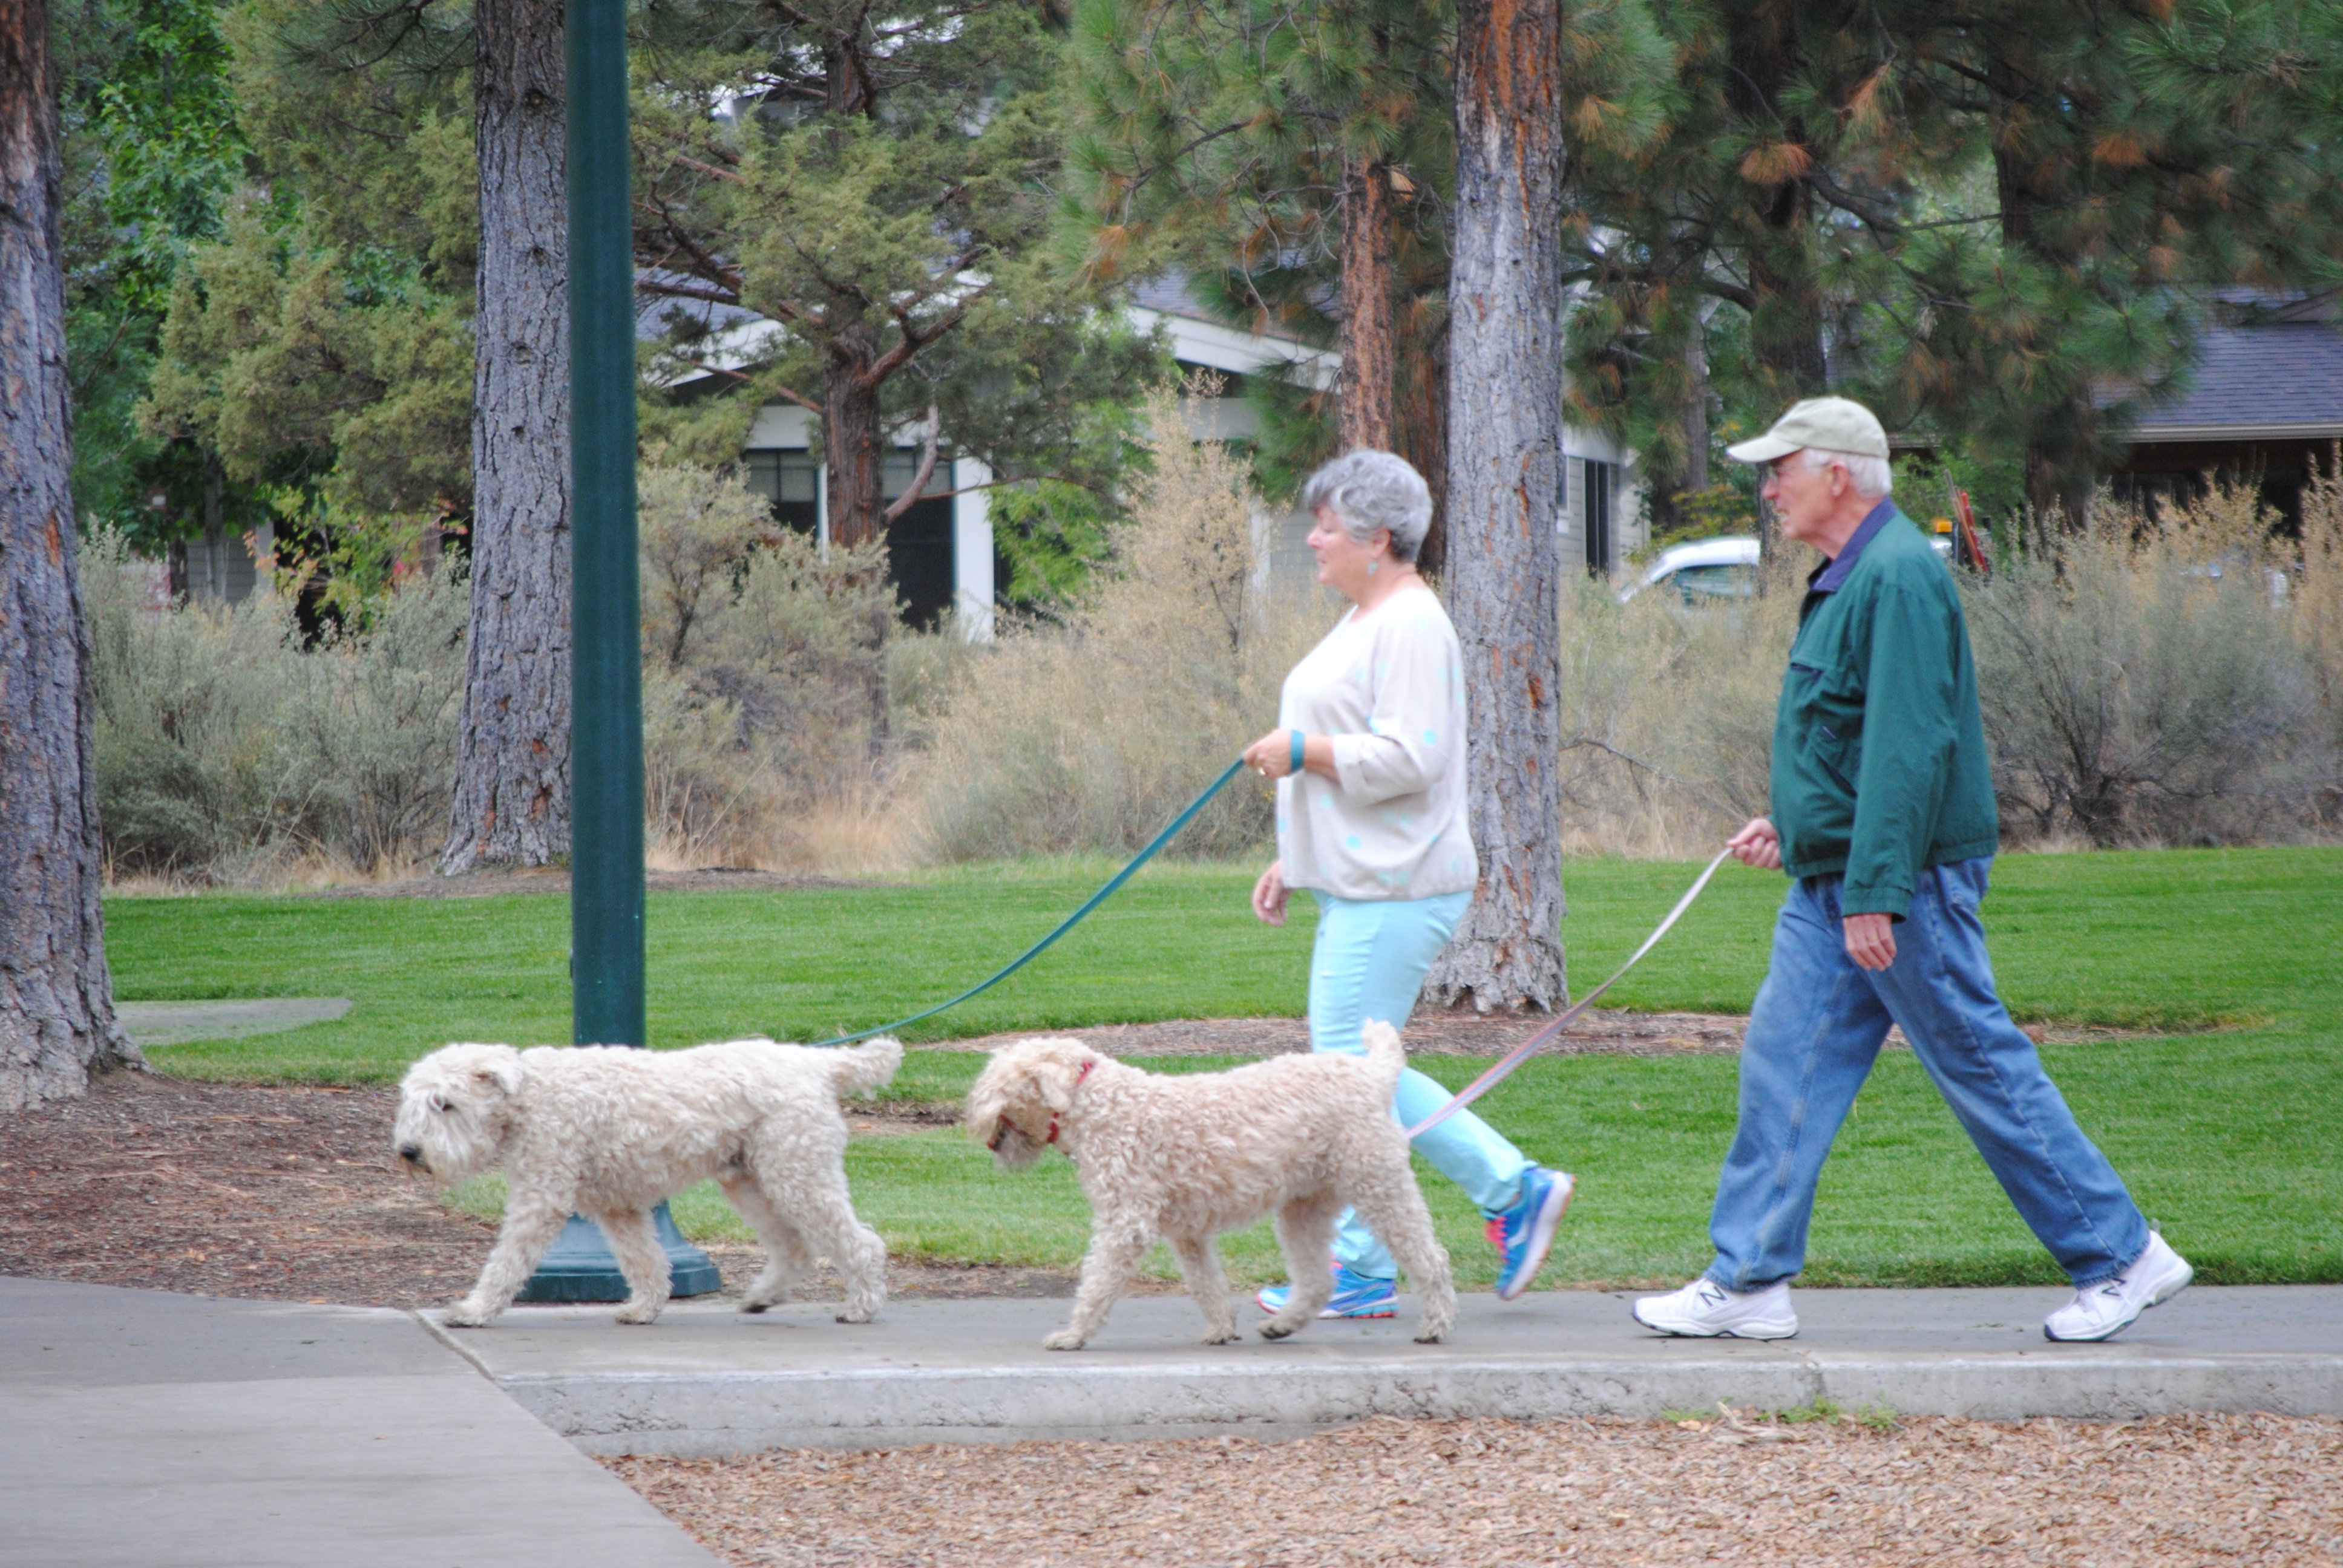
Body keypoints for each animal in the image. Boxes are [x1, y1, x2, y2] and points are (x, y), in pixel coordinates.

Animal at [393, 1031, 895, 1331]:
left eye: (446, 1103)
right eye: (416, 1101)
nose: (410, 1152)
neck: (530, 1098)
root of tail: (818, 1065)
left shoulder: (541, 1198)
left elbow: (507, 1262)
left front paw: (474, 1310)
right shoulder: (617, 1206)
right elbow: (644, 1261)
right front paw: (644, 1308)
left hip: (797, 1174)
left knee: (860, 1244)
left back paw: (861, 1306)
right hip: (750, 1182)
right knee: (793, 1246)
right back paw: (762, 1297)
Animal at [965, 1027, 1443, 1350]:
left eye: (997, 1080)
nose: (973, 1121)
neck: (1101, 1108)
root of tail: (1373, 1074)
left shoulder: (1126, 1223)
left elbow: (1097, 1284)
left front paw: (1073, 1335)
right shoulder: (1186, 1231)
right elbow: (1206, 1284)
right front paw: (1221, 1328)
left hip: (1378, 1184)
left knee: (1430, 1258)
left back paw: (1435, 1325)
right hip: (1304, 1207)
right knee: (1316, 1279)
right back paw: (1283, 1323)